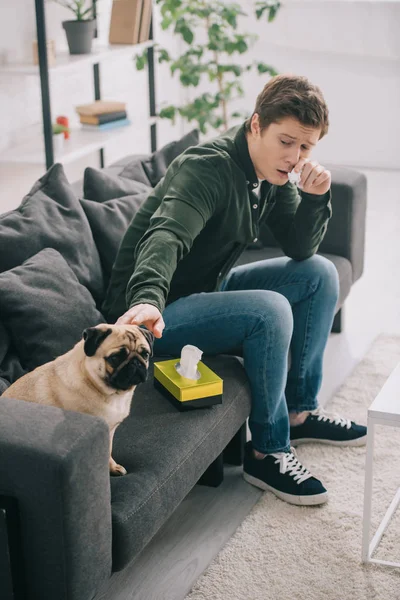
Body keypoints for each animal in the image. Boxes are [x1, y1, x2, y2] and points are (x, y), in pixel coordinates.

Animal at [2, 326, 154, 476]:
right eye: (115, 358)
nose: (136, 362)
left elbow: (108, 452)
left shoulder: (109, 432)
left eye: (145, 354)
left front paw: (112, 467)